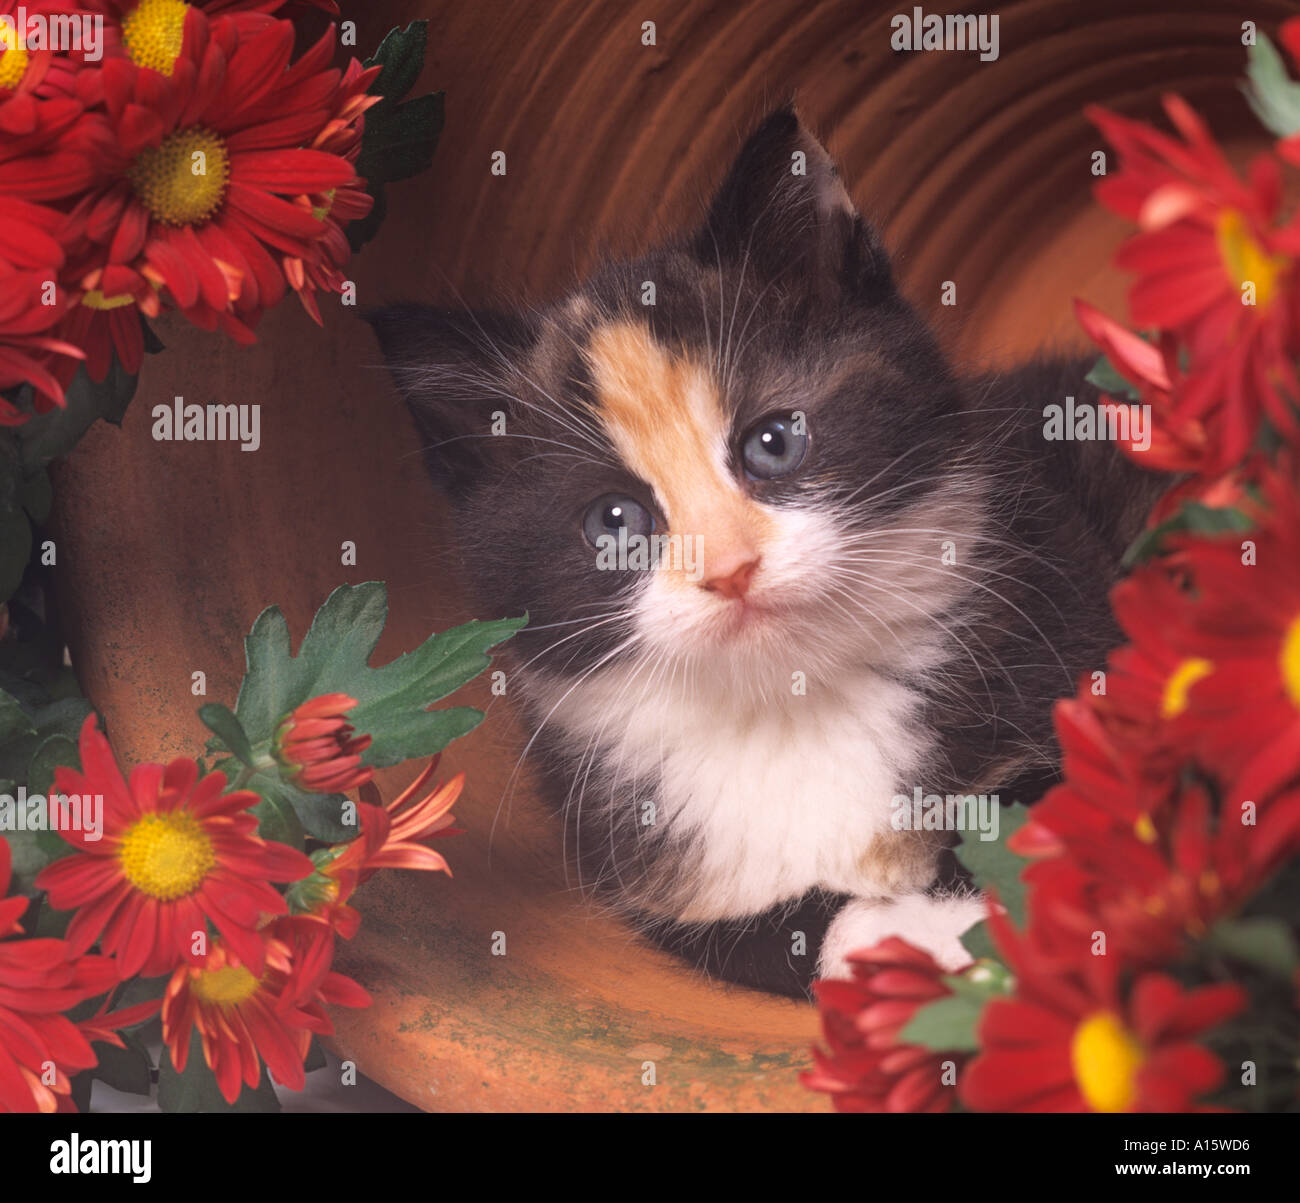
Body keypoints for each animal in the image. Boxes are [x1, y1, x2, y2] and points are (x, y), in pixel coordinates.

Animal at [369, 107, 1170, 998]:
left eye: (774, 441)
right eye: (614, 521)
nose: (730, 570)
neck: (796, 698)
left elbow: (1047, 811)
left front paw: (950, 919)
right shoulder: (653, 875)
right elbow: (764, 932)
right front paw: (888, 931)